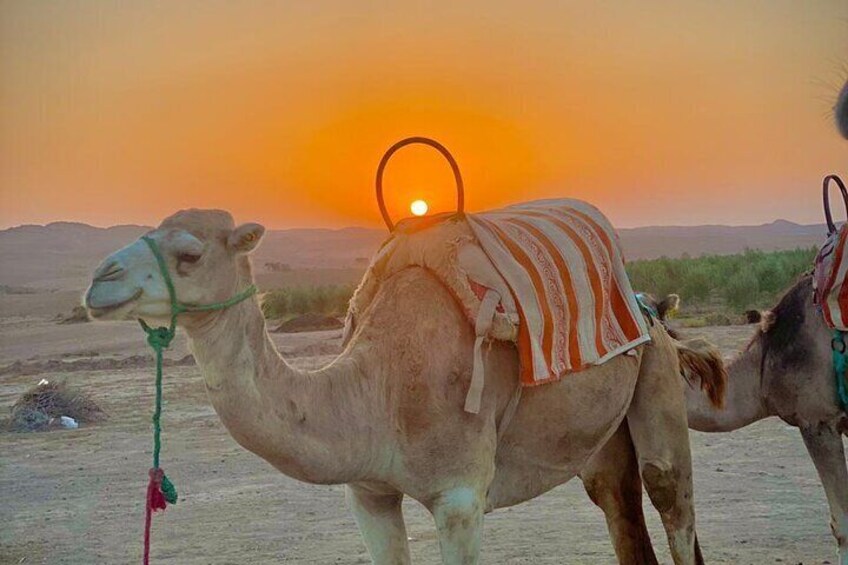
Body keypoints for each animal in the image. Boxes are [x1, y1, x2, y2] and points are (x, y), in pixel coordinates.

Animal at [85, 208, 709, 564]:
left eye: (189, 254)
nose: (98, 281)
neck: (378, 389)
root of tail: (651, 306)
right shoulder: (369, 493)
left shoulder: (460, 499)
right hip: (599, 436)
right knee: (617, 501)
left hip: (655, 374)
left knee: (669, 497)